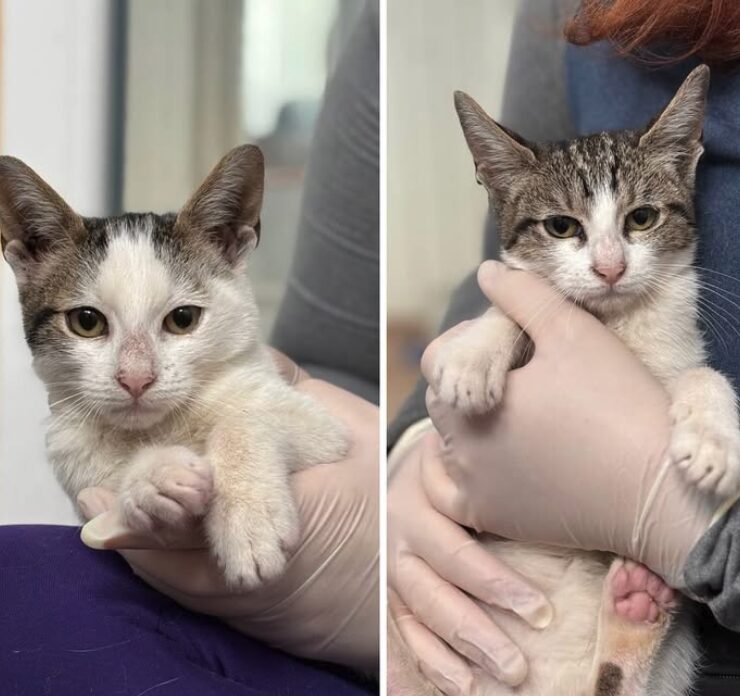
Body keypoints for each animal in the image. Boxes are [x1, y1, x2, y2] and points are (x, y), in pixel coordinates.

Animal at [0, 145, 346, 588]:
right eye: (87, 322)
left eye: (183, 319)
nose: (135, 378)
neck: (165, 427)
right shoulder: (78, 467)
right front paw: (155, 478)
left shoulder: (326, 431)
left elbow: (249, 420)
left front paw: (247, 516)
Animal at [390, 66, 736, 696]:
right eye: (560, 226)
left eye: (641, 218)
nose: (610, 267)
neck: (613, 327)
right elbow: (520, 308)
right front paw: (474, 356)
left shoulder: (675, 354)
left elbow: (703, 372)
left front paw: (714, 439)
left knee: (619, 682)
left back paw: (635, 610)